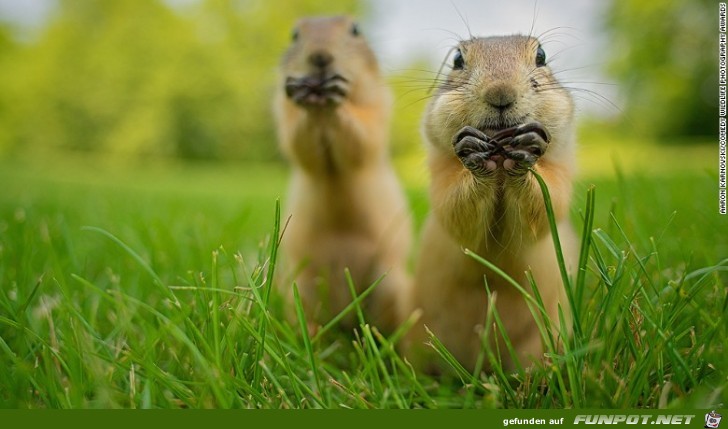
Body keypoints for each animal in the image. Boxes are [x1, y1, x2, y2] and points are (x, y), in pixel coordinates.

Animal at [272, 15, 410, 332]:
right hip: (299, 287)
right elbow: (298, 140)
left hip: (391, 283)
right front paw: (302, 94)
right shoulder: (284, 112)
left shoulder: (378, 105)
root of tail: (345, 317)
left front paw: (338, 98)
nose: (320, 56)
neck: (322, 111)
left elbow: (364, 136)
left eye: (355, 30)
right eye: (294, 34)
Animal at [406, 35, 576, 372]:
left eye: (541, 55)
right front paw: (473, 152)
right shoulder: (441, 174)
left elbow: (547, 204)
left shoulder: (561, 169)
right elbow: (455, 212)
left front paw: (527, 149)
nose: (500, 93)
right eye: (457, 59)